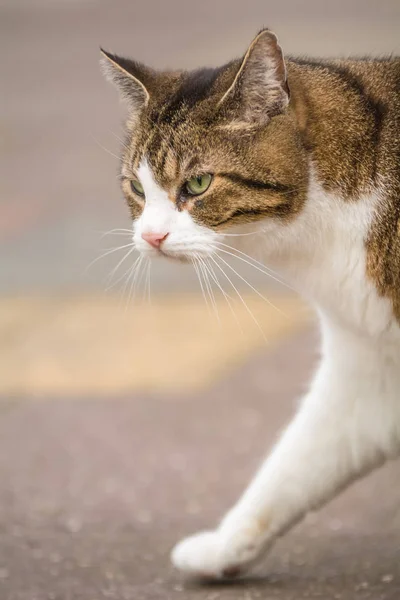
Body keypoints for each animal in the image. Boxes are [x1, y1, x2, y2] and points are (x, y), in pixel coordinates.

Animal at [101, 28, 400, 580]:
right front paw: (223, 547)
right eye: (136, 188)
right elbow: (294, 465)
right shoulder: (370, 364)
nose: (150, 237)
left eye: (197, 184)